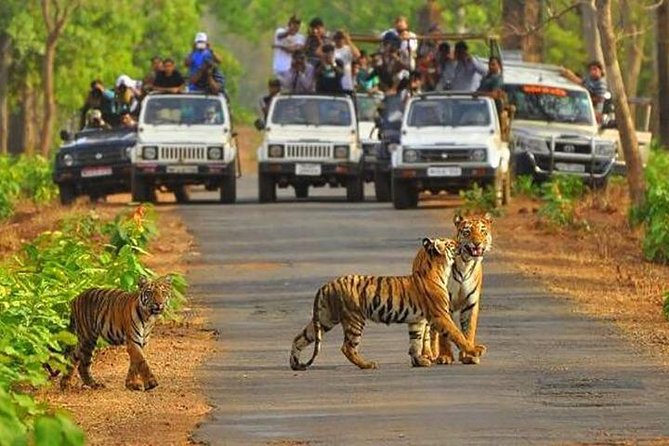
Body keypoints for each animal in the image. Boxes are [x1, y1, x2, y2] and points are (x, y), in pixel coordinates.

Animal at [289, 237, 487, 370]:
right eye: (451, 243)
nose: (461, 243)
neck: (439, 269)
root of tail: (326, 285)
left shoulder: (417, 320)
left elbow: (415, 342)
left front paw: (419, 361)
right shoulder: (440, 315)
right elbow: (457, 334)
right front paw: (475, 350)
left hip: (325, 318)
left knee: (299, 338)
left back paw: (295, 363)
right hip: (354, 319)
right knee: (347, 347)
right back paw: (367, 364)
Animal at [422, 213, 492, 365]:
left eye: (483, 231)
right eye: (467, 232)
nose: (477, 243)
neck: (466, 263)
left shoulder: (471, 303)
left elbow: (468, 330)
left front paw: (468, 355)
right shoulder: (443, 303)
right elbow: (444, 334)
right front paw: (445, 356)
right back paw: (429, 355)